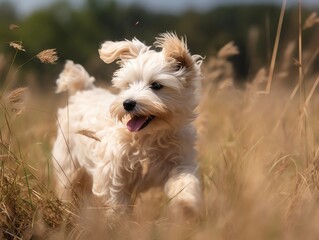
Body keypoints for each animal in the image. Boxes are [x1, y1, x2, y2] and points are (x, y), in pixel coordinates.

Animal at [52, 31, 202, 218]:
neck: (149, 136)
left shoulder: (179, 162)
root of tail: (84, 91)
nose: (128, 103)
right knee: (68, 188)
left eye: (156, 85)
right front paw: (118, 222)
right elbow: (117, 203)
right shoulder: (111, 173)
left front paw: (186, 205)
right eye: (128, 84)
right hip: (68, 165)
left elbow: (185, 182)